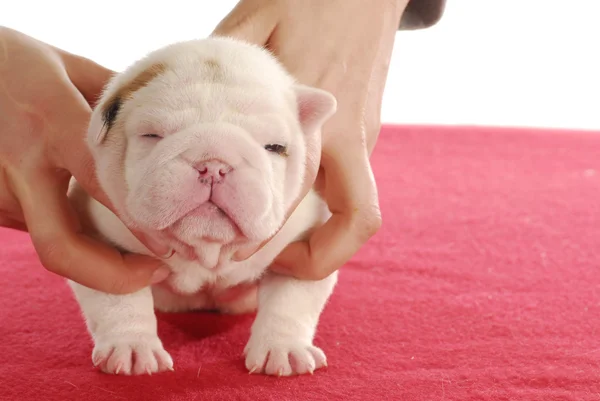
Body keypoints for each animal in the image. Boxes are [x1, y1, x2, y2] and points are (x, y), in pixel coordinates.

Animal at [66, 35, 340, 376]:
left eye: (275, 147)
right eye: (151, 135)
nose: (214, 165)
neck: (206, 251)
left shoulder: (301, 252)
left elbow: (290, 299)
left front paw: (283, 348)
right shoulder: (100, 248)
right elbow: (119, 297)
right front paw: (132, 346)